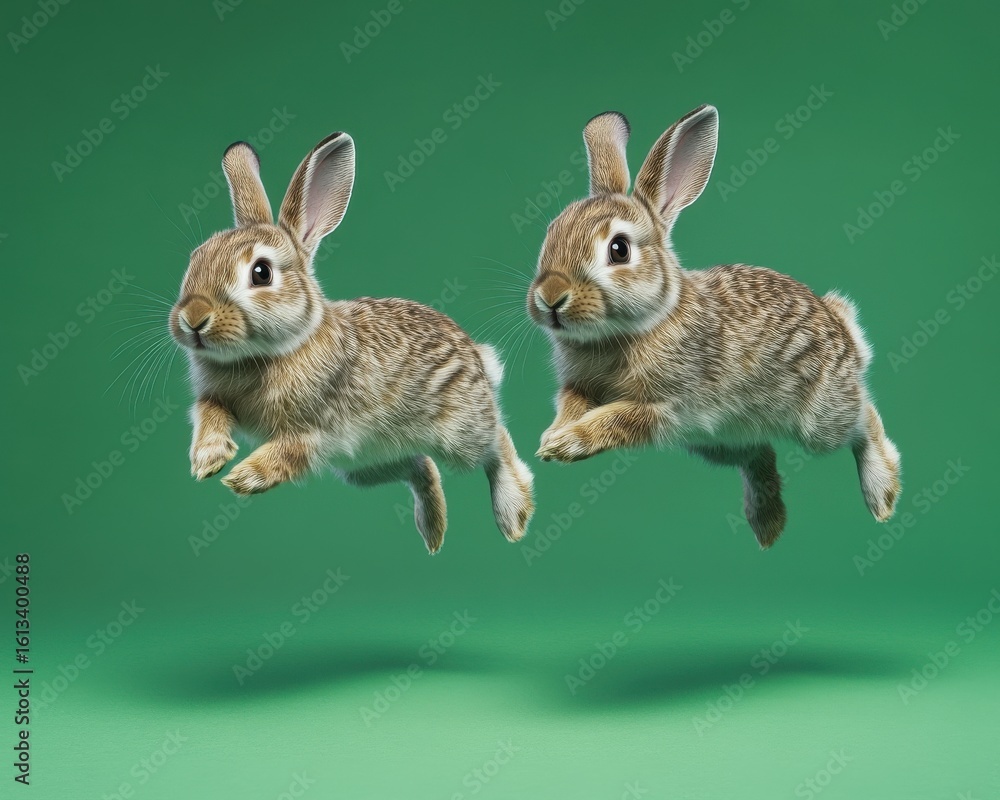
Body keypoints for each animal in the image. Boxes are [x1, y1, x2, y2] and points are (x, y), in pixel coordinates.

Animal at [169, 132, 534, 553]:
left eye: (261, 273)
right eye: (195, 259)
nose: (193, 320)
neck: (267, 353)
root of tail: (477, 356)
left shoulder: (315, 429)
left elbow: (289, 448)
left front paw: (244, 477)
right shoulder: (216, 399)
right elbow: (209, 412)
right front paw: (207, 459)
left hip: (458, 435)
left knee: (497, 442)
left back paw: (513, 515)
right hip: (366, 464)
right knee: (422, 466)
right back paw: (433, 532)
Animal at [526, 105, 901, 548]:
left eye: (618, 249)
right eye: (552, 232)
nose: (550, 297)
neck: (634, 327)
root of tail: (844, 329)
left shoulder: (670, 406)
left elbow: (619, 419)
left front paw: (567, 443)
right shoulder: (580, 386)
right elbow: (571, 402)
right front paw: (552, 438)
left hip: (819, 420)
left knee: (865, 418)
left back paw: (882, 495)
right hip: (721, 441)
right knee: (761, 454)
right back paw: (767, 526)